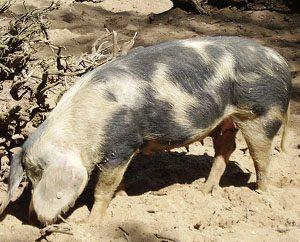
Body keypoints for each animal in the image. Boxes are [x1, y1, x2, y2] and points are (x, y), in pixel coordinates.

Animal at [0, 35, 290, 225]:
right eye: (29, 176)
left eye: (41, 173)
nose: (35, 217)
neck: (84, 130)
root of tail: (281, 62)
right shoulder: (123, 151)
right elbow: (117, 181)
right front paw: (123, 196)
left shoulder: (120, 144)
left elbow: (102, 187)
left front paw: (89, 225)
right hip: (225, 121)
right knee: (226, 148)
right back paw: (204, 191)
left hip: (262, 112)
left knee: (261, 157)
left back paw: (261, 194)